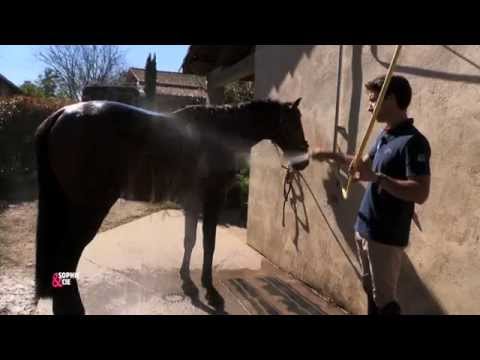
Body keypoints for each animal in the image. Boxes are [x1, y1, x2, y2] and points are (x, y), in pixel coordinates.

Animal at [34, 97, 312, 314]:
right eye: (291, 123)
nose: (304, 160)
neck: (221, 132)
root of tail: (62, 113)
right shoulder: (212, 201)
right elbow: (208, 244)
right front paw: (210, 290)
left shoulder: (191, 203)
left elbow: (189, 240)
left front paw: (187, 280)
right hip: (89, 209)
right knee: (68, 254)